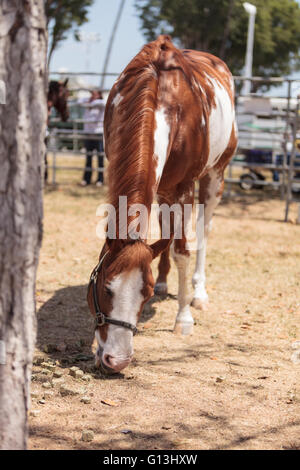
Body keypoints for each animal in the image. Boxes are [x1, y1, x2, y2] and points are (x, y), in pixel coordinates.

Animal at [86, 35, 237, 374]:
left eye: (143, 296)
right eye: (106, 288)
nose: (117, 361)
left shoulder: (184, 187)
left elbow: (182, 251)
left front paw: (183, 319)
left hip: (214, 177)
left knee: (203, 232)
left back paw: (198, 294)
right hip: (164, 189)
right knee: (164, 229)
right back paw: (168, 282)